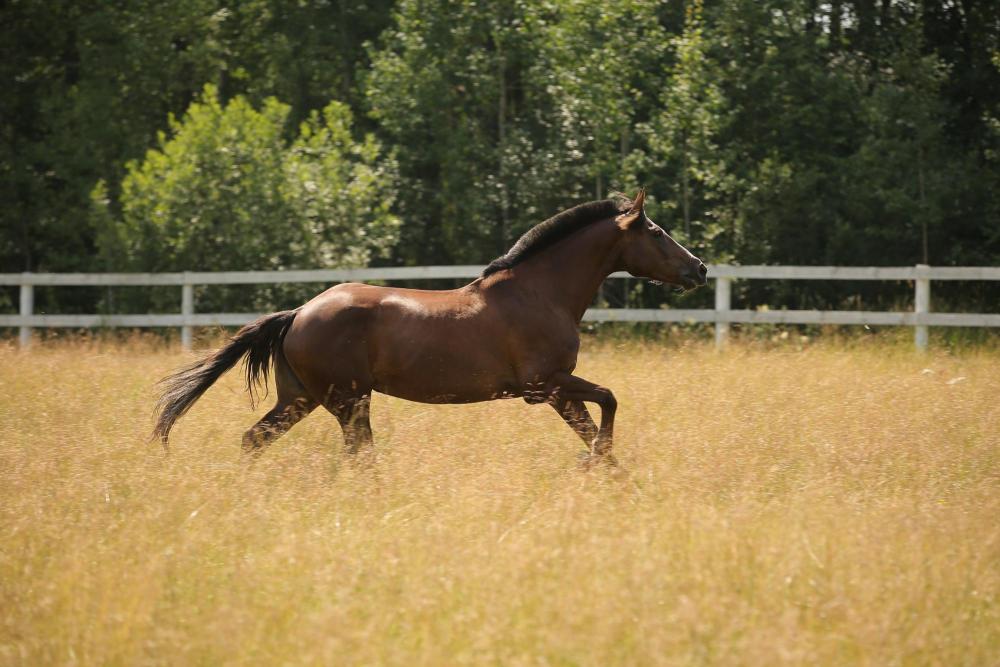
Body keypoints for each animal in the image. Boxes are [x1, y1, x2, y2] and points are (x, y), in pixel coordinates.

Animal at [153, 190, 707, 464]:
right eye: (657, 232)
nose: (699, 269)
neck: (540, 293)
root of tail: (298, 314)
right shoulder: (545, 386)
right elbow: (609, 400)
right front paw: (597, 463)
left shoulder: (556, 391)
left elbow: (595, 424)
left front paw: (605, 468)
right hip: (346, 399)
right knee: (359, 454)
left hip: (303, 398)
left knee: (256, 440)